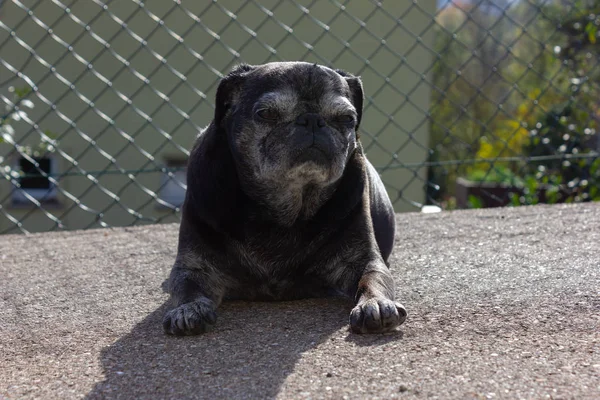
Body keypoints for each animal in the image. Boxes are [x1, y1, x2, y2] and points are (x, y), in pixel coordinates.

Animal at [163, 61, 408, 334]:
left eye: (346, 118)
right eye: (266, 114)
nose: (312, 120)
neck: (285, 206)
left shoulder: (363, 260)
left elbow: (373, 279)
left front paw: (375, 304)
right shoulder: (195, 266)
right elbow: (187, 287)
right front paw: (188, 309)